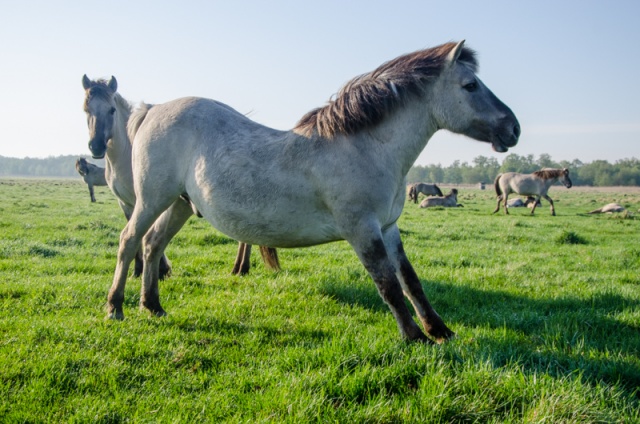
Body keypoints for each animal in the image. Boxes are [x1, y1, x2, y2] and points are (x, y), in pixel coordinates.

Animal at [80, 75, 280, 274]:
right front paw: (140, 269)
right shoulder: (127, 203)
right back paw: (239, 267)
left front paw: (160, 269)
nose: (96, 146)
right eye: (86, 109)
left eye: (112, 110)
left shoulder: (148, 201)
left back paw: (240, 267)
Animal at [101, 40, 520, 344]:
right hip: (151, 200)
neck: (362, 147)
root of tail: (152, 111)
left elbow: (410, 280)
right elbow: (388, 285)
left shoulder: (388, 228)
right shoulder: (362, 230)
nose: (513, 128)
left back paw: (152, 306)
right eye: (470, 85)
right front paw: (415, 337)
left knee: (153, 244)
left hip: (179, 205)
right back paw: (115, 307)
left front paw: (439, 330)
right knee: (129, 241)